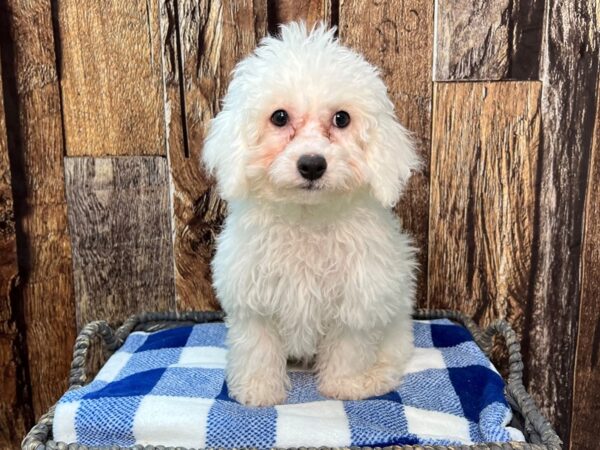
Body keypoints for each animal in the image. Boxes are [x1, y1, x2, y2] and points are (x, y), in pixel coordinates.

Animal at [202, 22, 418, 406]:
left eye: (342, 119)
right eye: (279, 117)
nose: (313, 164)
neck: (306, 218)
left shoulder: (357, 299)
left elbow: (349, 346)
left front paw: (343, 386)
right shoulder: (253, 299)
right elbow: (257, 347)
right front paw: (258, 391)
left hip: (397, 316)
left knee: (394, 348)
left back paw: (377, 376)